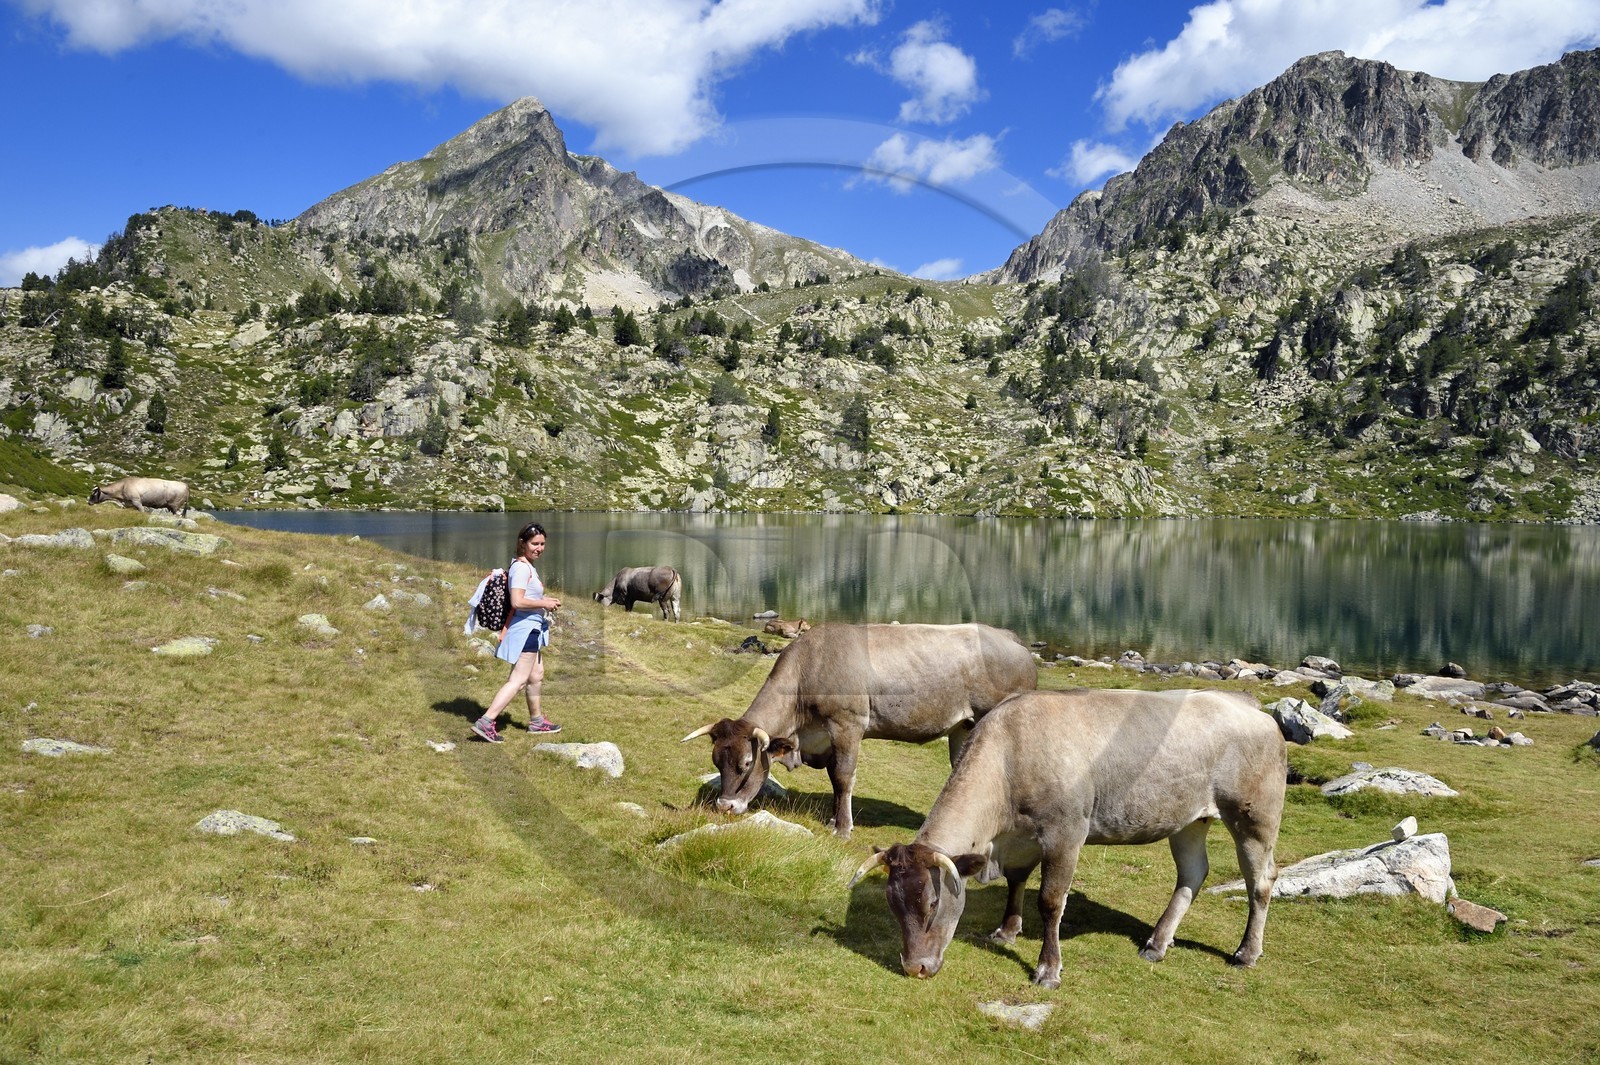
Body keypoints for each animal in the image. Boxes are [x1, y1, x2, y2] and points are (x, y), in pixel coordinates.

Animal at [681, 622, 1038, 839]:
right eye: (716, 761)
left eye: (745, 764)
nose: (724, 806)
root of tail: (1012, 638)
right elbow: (833, 779)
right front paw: (832, 820)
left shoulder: (847, 725)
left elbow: (843, 777)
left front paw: (842, 828)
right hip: (964, 726)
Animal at [849, 688, 1286, 988]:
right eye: (892, 904)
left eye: (933, 902)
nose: (914, 967)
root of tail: (1247, 705)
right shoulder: (1021, 838)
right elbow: (1017, 881)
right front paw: (1007, 931)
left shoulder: (1066, 834)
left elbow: (1050, 901)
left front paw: (1048, 968)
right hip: (1188, 820)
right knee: (1193, 874)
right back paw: (1157, 943)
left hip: (1255, 817)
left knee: (1261, 880)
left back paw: (1246, 952)